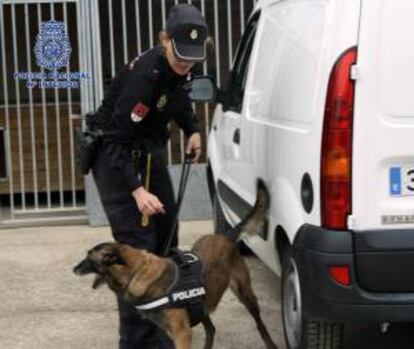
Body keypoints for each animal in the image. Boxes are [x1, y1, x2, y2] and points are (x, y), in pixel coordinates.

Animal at [73, 179, 278, 348]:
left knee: (260, 324)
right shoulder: (175, 331)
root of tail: (227, 236)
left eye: (88, 257)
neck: (136, 273)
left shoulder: (182, 333)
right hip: (202, 306)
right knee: (211, 330)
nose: (73, 269)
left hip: (245, 294)